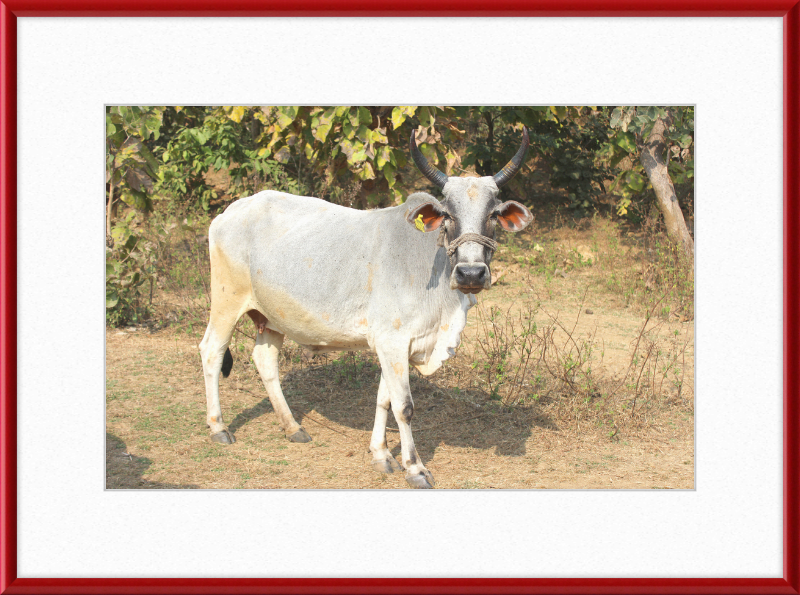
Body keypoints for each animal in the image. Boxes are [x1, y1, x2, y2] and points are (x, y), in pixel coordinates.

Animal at [199, 128, 532, 486]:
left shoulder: (396, 345)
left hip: (272, 317)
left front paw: (381, 454)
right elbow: (404, 407)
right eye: (447, 215)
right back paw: (218, 427)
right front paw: (414, 467)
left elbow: (384, 399)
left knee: (265, 361)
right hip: (226, 302)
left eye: (493, 214)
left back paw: (292, 427)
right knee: (212, 351)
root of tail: (231, 211)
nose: (471, 273)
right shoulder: (392, 341)